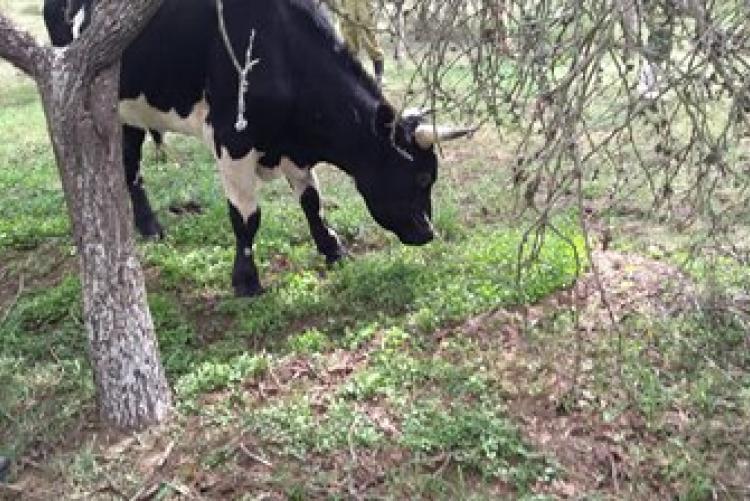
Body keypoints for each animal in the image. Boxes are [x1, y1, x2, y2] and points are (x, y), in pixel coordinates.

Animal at [42, 0, 470, 294]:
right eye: (421, 176)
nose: (427, 232)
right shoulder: (232, 140)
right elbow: (246, 217)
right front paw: (246, 279)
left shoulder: (294, 146)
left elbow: (311, 201)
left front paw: (332, 248)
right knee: (128, 164)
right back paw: (150, 226)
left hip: (130, 107)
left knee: (130, 163)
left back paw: (146, 226)